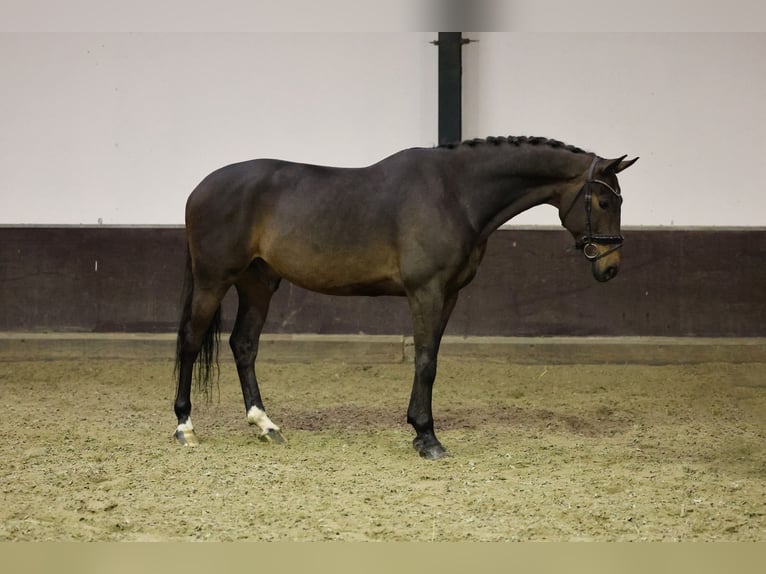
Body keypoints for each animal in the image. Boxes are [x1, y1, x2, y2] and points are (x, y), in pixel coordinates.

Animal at [173, 136, 638, 459]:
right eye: (602, 200)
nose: (611, 267)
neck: (455, 194)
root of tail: (199, 189)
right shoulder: (425, 291)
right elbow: (425, 361)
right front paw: (427, 437)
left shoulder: (448, 295)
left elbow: (430, 358)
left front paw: (420, 430)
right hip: (214, 281)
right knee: (191, 344)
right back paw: (185, 427)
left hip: (257, 283)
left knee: (243, 345)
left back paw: (265, 424)